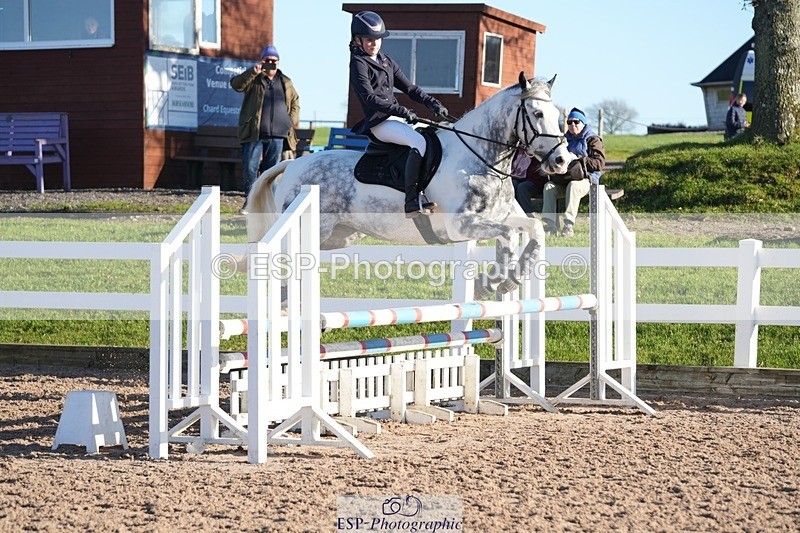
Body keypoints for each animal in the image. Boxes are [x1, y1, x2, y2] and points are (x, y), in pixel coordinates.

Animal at [246, 73, 572, 298]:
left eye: (559, 117)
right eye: (537, 114)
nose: (561, 161)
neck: (480, 155)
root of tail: (293, 165)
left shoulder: (500, 218)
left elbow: (532, 230)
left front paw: (507, 279)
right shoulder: (462, 226)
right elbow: (508, 235)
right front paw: (494, 282)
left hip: (340, 236)